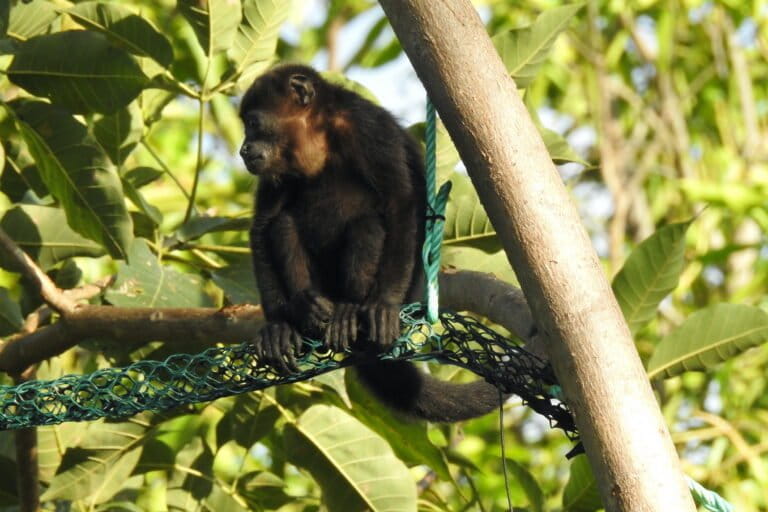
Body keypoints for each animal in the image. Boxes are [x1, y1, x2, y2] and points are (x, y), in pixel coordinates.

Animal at [239, 64, 501, 422]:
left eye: (253, 123)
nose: (243, 149)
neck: (318, 138)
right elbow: (263, 224)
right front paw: (278, 325)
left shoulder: (369, 128)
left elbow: (400, 202)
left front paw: (383, 306)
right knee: (283, 225)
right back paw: (305, 310)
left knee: (368, 224)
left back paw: (351, 310)